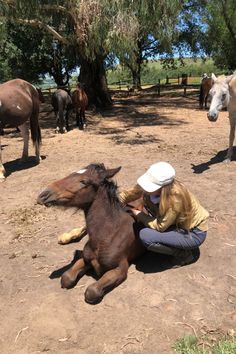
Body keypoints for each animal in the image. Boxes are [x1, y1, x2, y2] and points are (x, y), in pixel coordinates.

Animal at [37, 163, 144, 304]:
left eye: (84, 182)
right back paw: (67, 237)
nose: (43, 195)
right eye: (72, 174)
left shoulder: (120, 268)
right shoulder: (85, 258)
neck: (108, 234)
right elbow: (66, 278)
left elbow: (91, 292)